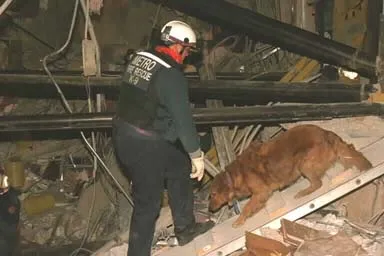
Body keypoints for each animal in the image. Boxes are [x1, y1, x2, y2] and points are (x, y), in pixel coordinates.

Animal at [208, 125, 374, 227]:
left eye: (213, 194)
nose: (209, 209)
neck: (234, 175)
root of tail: (325, 132)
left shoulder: (261, 192)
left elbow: (247, 207)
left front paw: (240, 220)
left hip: (303, 163)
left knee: (317, 183)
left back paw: (303, 192)